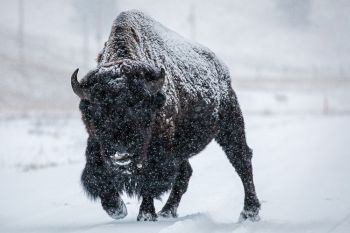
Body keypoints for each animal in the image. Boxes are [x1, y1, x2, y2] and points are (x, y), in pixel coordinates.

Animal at [71, 10, 260, 222]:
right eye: (97, 112)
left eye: (141, 110)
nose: (122, 155)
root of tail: (221, 68)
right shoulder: (96, 142)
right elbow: (97, 173)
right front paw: (116, 209)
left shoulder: (158, 152)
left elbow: (150, 180)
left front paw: (145, 215)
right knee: (186, 172)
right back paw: (167, 211)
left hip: (230, 123)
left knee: (241, 159)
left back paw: (249, 212)